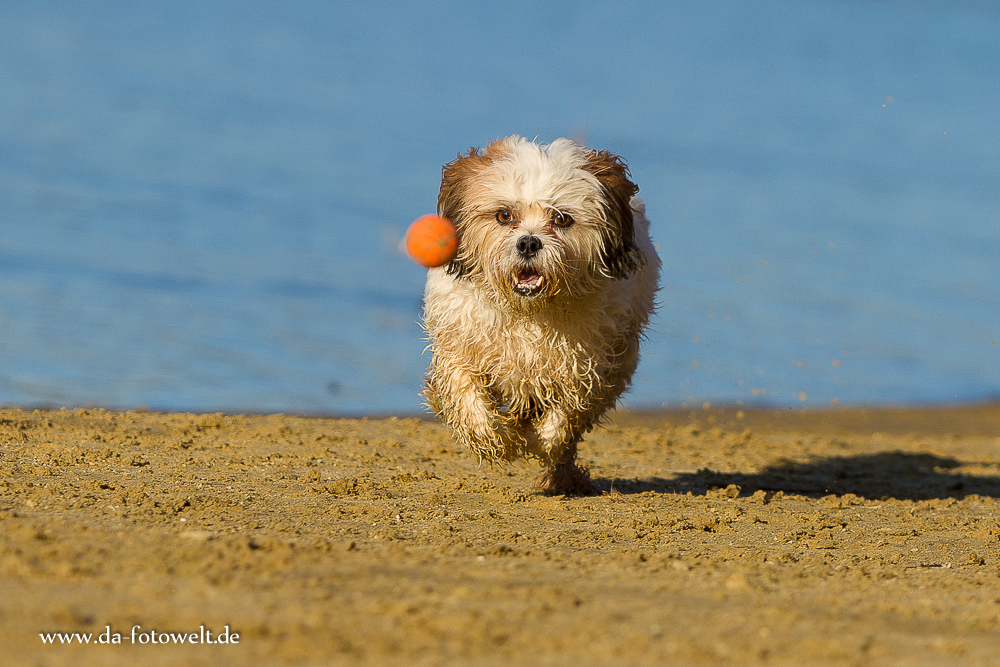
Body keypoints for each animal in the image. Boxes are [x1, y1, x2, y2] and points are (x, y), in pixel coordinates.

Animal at [420, 134, 660, 496]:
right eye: (504, 215)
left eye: (561, 219)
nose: (529, 243)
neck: (529, 312)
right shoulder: (458, 344)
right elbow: (467, 396)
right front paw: (497, 440)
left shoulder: (588, 365)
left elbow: (565, 416)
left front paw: (538, 440)